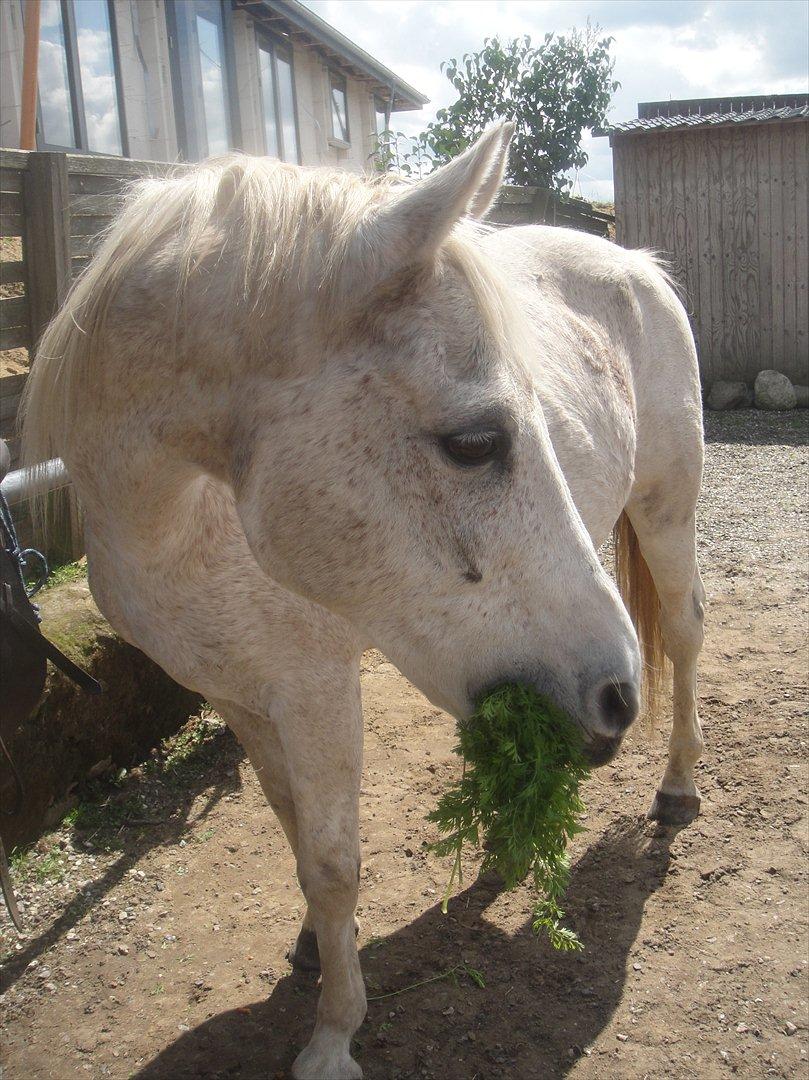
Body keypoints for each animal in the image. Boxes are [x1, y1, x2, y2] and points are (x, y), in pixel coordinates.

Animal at [22, 124, 704, 1071]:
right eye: (474, 442)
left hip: (666, 515)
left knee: (683, 632)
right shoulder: (240, 695)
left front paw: (333, 1034)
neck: (180, 524)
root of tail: (634, 262)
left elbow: (333, 862)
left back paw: (675, 789)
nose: (613, 698)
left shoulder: (315, 690)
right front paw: (316, 945)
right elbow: (291, 826)